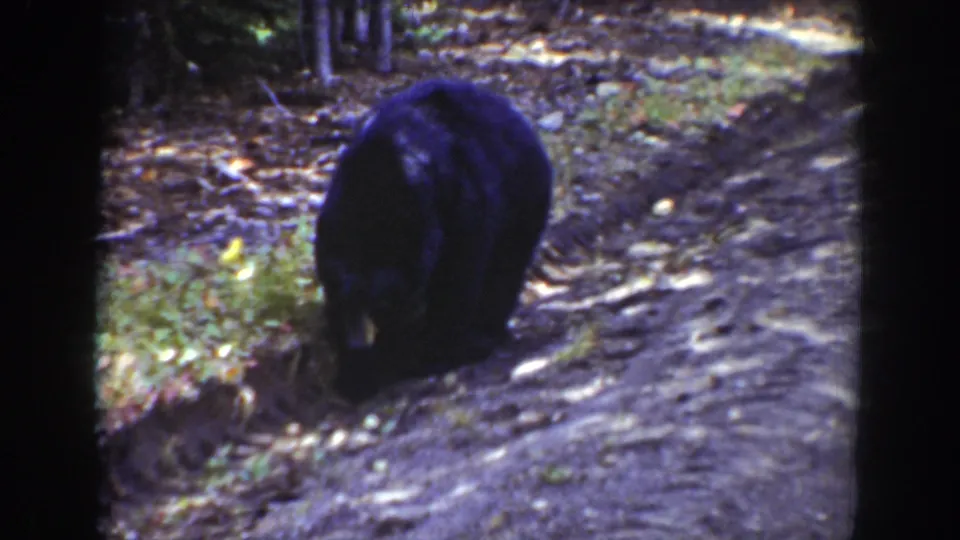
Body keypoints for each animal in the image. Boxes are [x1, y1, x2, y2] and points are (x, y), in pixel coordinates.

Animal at [313, 79, 553, 403]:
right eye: (374, 301)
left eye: (388, 297)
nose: (408, 316)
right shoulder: (333, 242)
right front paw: (356, 372)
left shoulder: (462, 211)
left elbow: (458, 279)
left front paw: (429, 352)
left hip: (525, 195)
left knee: (505, 269)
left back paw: (483, 333)